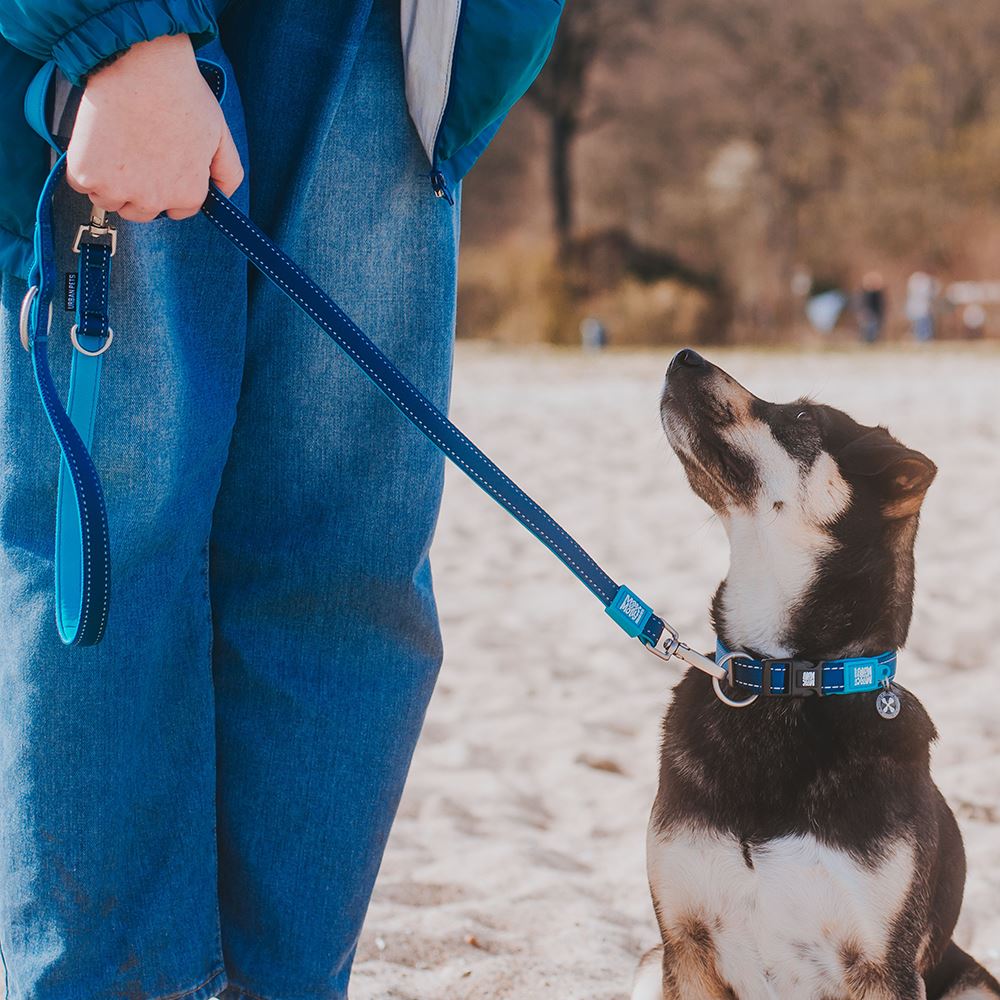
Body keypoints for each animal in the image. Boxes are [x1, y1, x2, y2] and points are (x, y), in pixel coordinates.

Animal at [632, 350, 1000, 1000]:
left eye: (803, 419)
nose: (683, 357)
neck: (784, 680)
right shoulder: (683, 943)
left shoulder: (882, 966)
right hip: (650, 963)